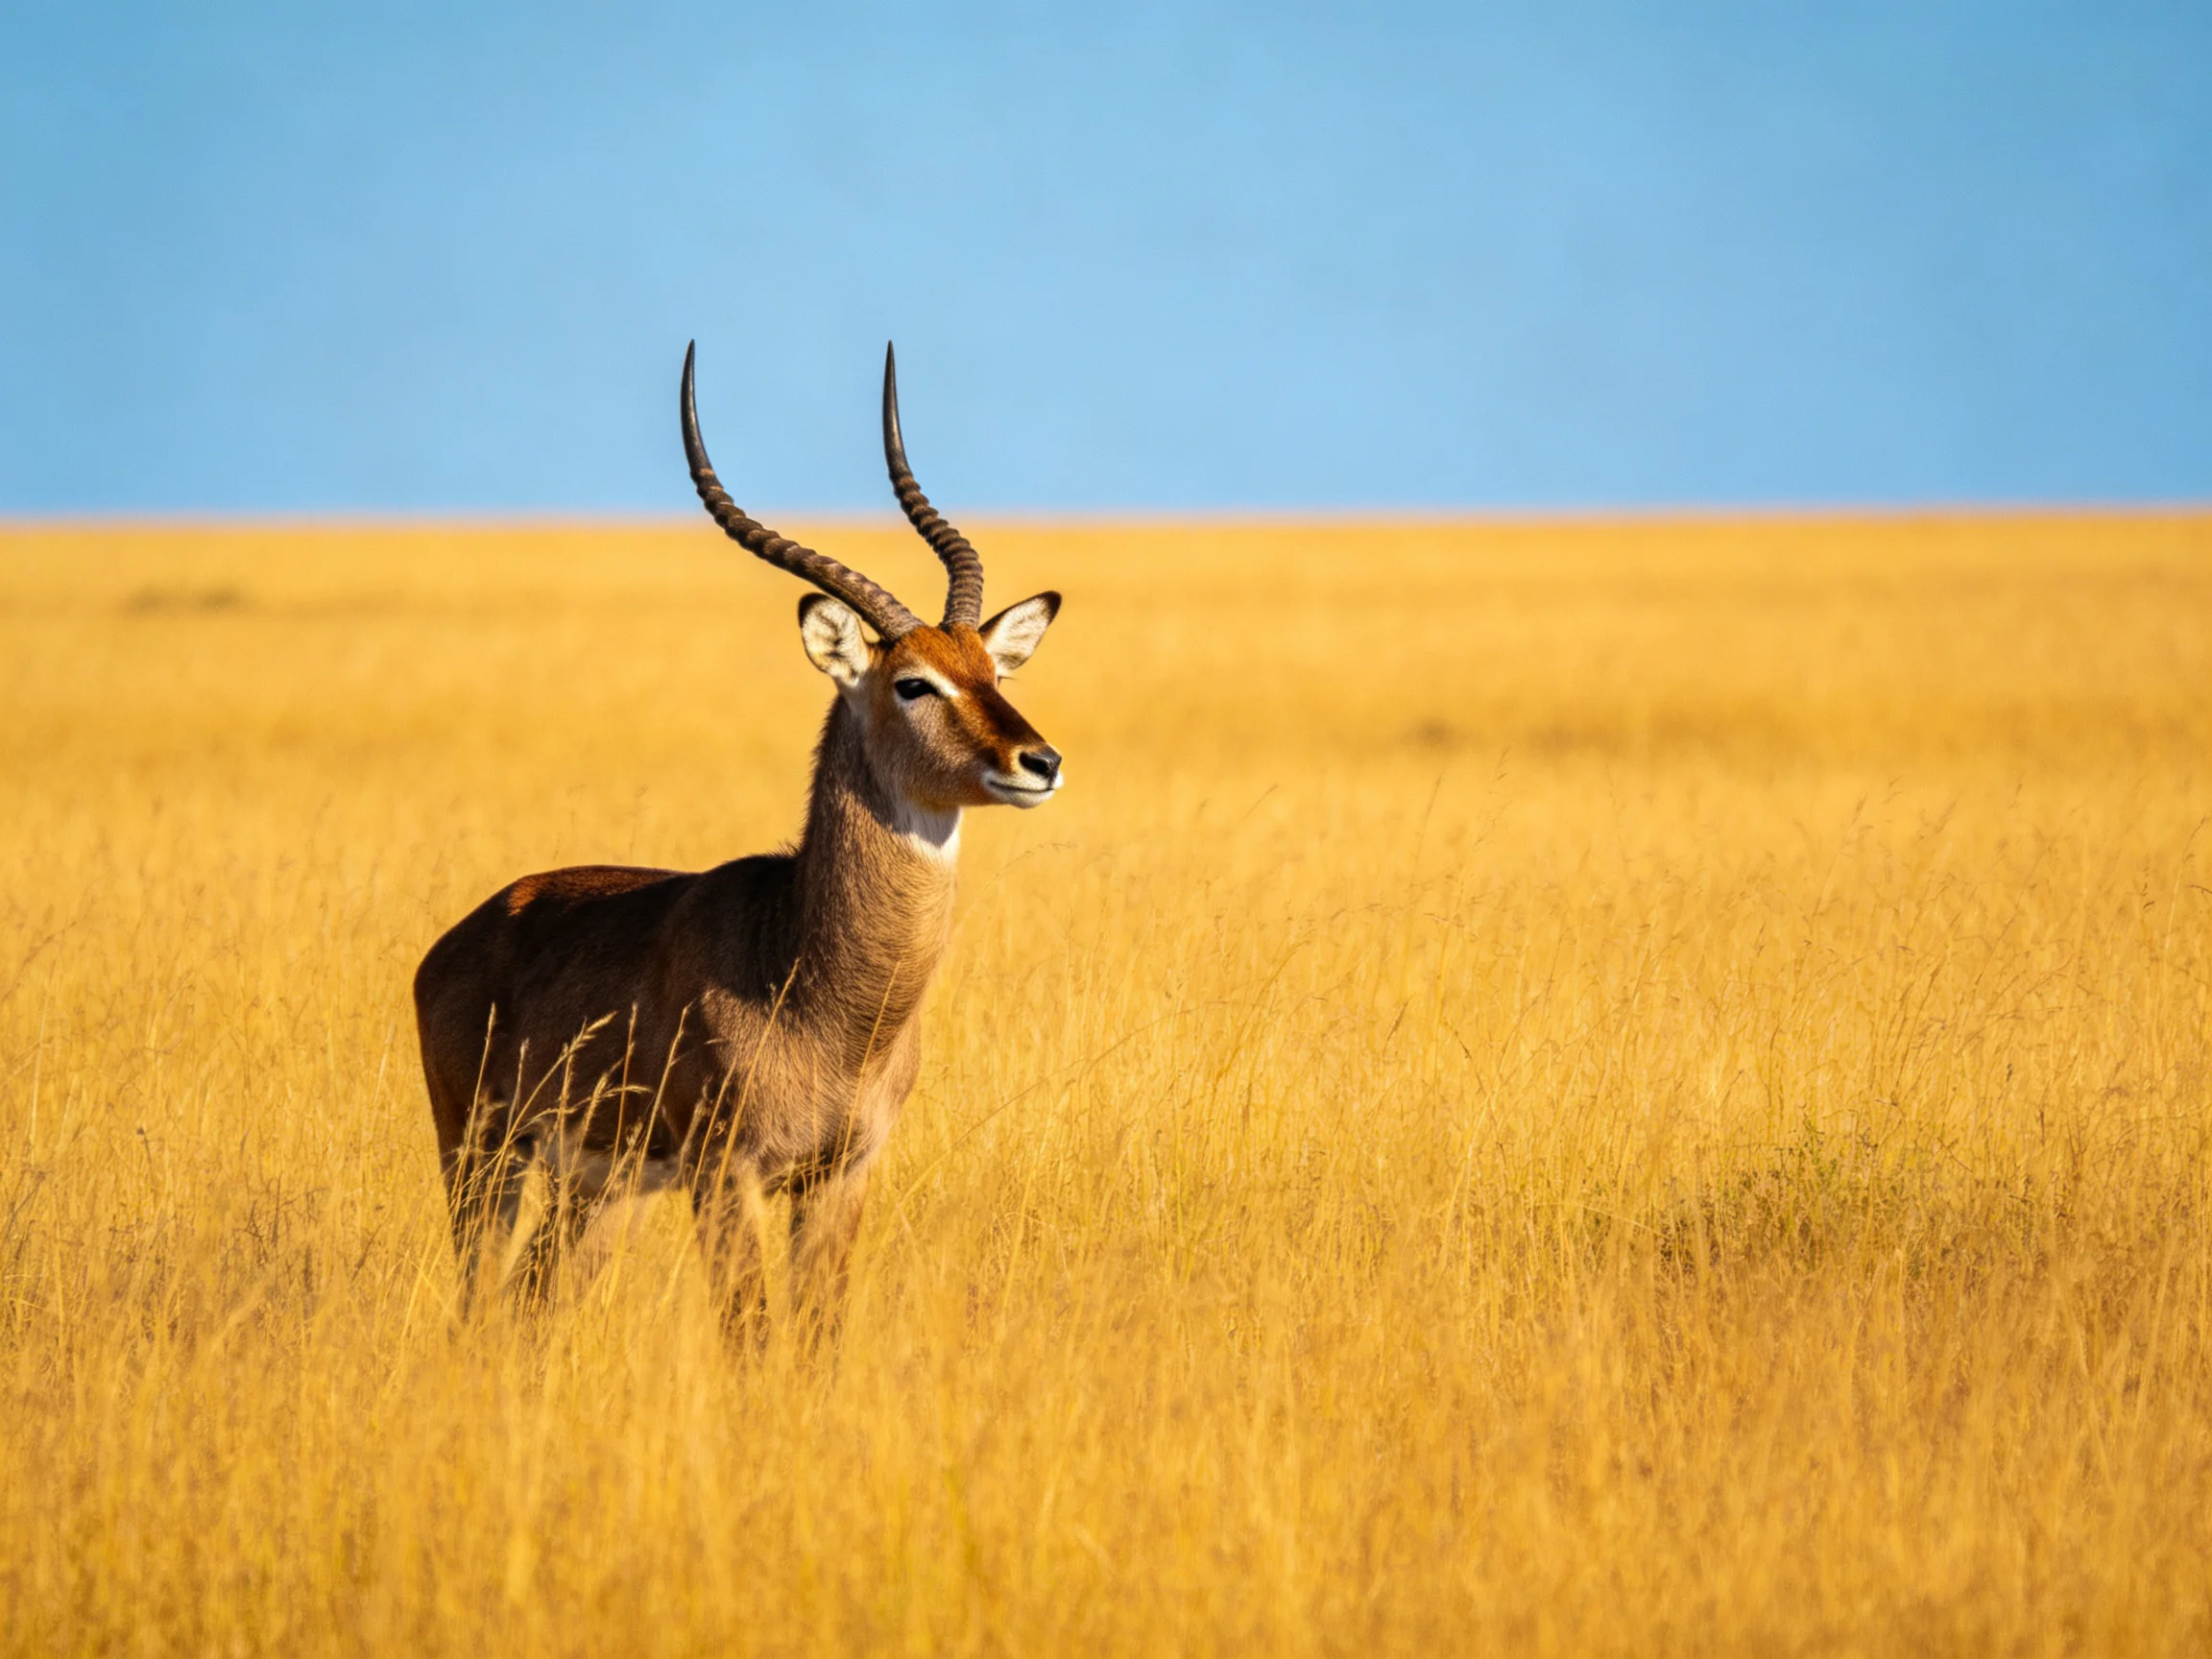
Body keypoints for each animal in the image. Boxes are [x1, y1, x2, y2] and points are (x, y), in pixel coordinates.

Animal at [412, 342, 1063, 1344]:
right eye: (914, 682)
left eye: (994, 671)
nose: (1040, 761)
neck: (810, 977)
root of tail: (472, 927)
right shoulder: (730, 1177)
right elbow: (752, 1336)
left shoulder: (842, 1177)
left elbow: (816, 1335)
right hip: (482, 1156)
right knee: (479, 1297)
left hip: (598, 1189)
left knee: (533, 1298)